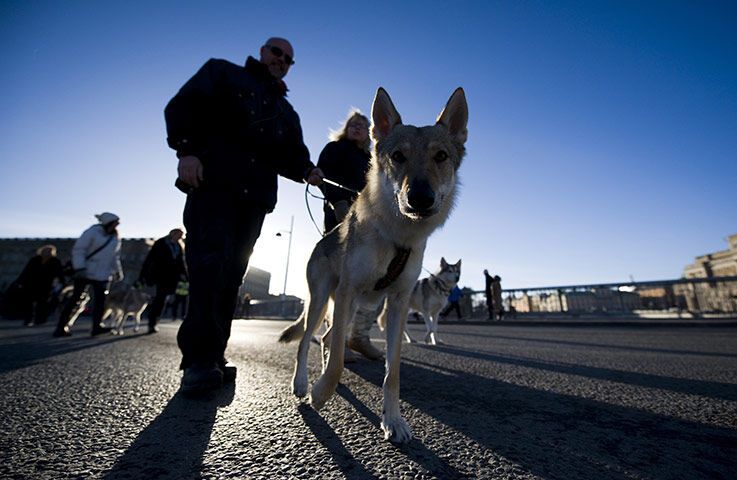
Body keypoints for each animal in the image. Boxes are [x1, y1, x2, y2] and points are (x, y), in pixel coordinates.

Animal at [278, 87, 468, 442]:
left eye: (441, 156)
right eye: (398, 156)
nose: (420, 198)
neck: (396, 236)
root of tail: (324, 238)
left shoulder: (397, 303)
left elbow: (392, 373)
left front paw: (393, 421)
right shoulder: (349, 291)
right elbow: (336, 361)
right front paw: (320, 393)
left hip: (351, 306)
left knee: (329, 339)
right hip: (322, 302)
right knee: (308, 342)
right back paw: (302, 384)